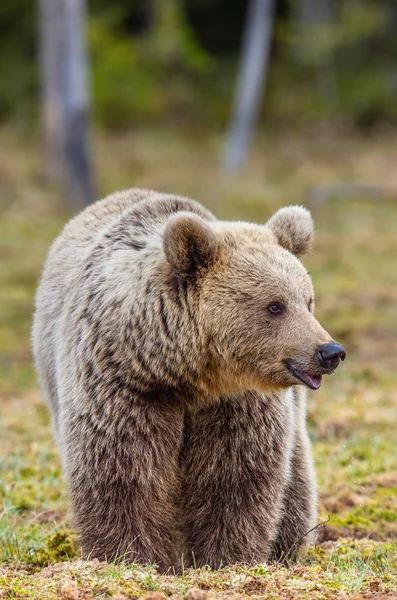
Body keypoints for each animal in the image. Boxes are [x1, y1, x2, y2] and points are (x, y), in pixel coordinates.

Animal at [32, 190, 344, 568]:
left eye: (308, 301)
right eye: (275, 305)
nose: (330, 351)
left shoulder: (236, 402)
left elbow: (233, 475)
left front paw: (224, 556)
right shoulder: (121, 383)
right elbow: (123, 470)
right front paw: (129, 555)